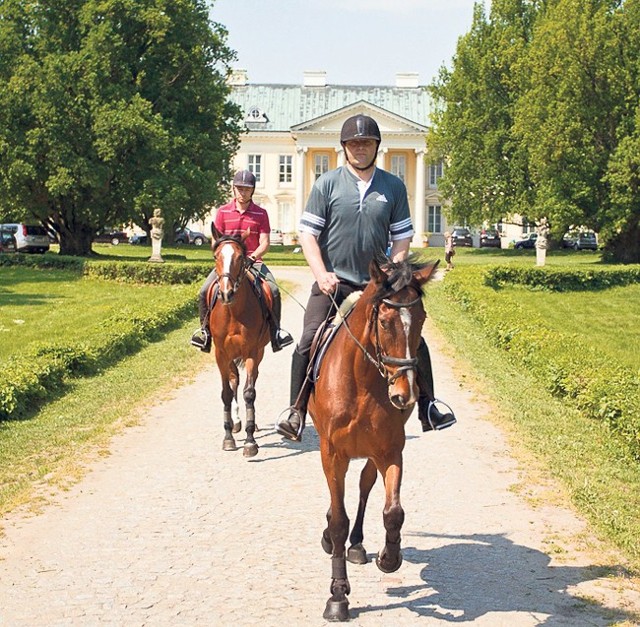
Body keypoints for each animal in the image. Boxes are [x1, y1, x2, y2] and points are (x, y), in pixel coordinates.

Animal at [208, 224, 270, 456]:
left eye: (240, 256)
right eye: (216, 256)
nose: (226, 293)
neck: (233, 312)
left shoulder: (252, 352)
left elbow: (249, 393)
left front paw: (251, 441)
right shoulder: (220, 354)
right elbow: (226, 393)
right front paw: (228, 437)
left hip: (258, 352)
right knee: (234, 379)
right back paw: (235, 422)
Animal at [308, 256, 440, 624]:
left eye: (422, 319)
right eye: (384, 322)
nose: (404, 395)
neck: (363, 382)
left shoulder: (390, 450)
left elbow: (393, 511)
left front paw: (389, 558)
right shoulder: (332, 453)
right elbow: (338, 518)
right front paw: (338, 596)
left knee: (365, 485)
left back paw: (357, 545)